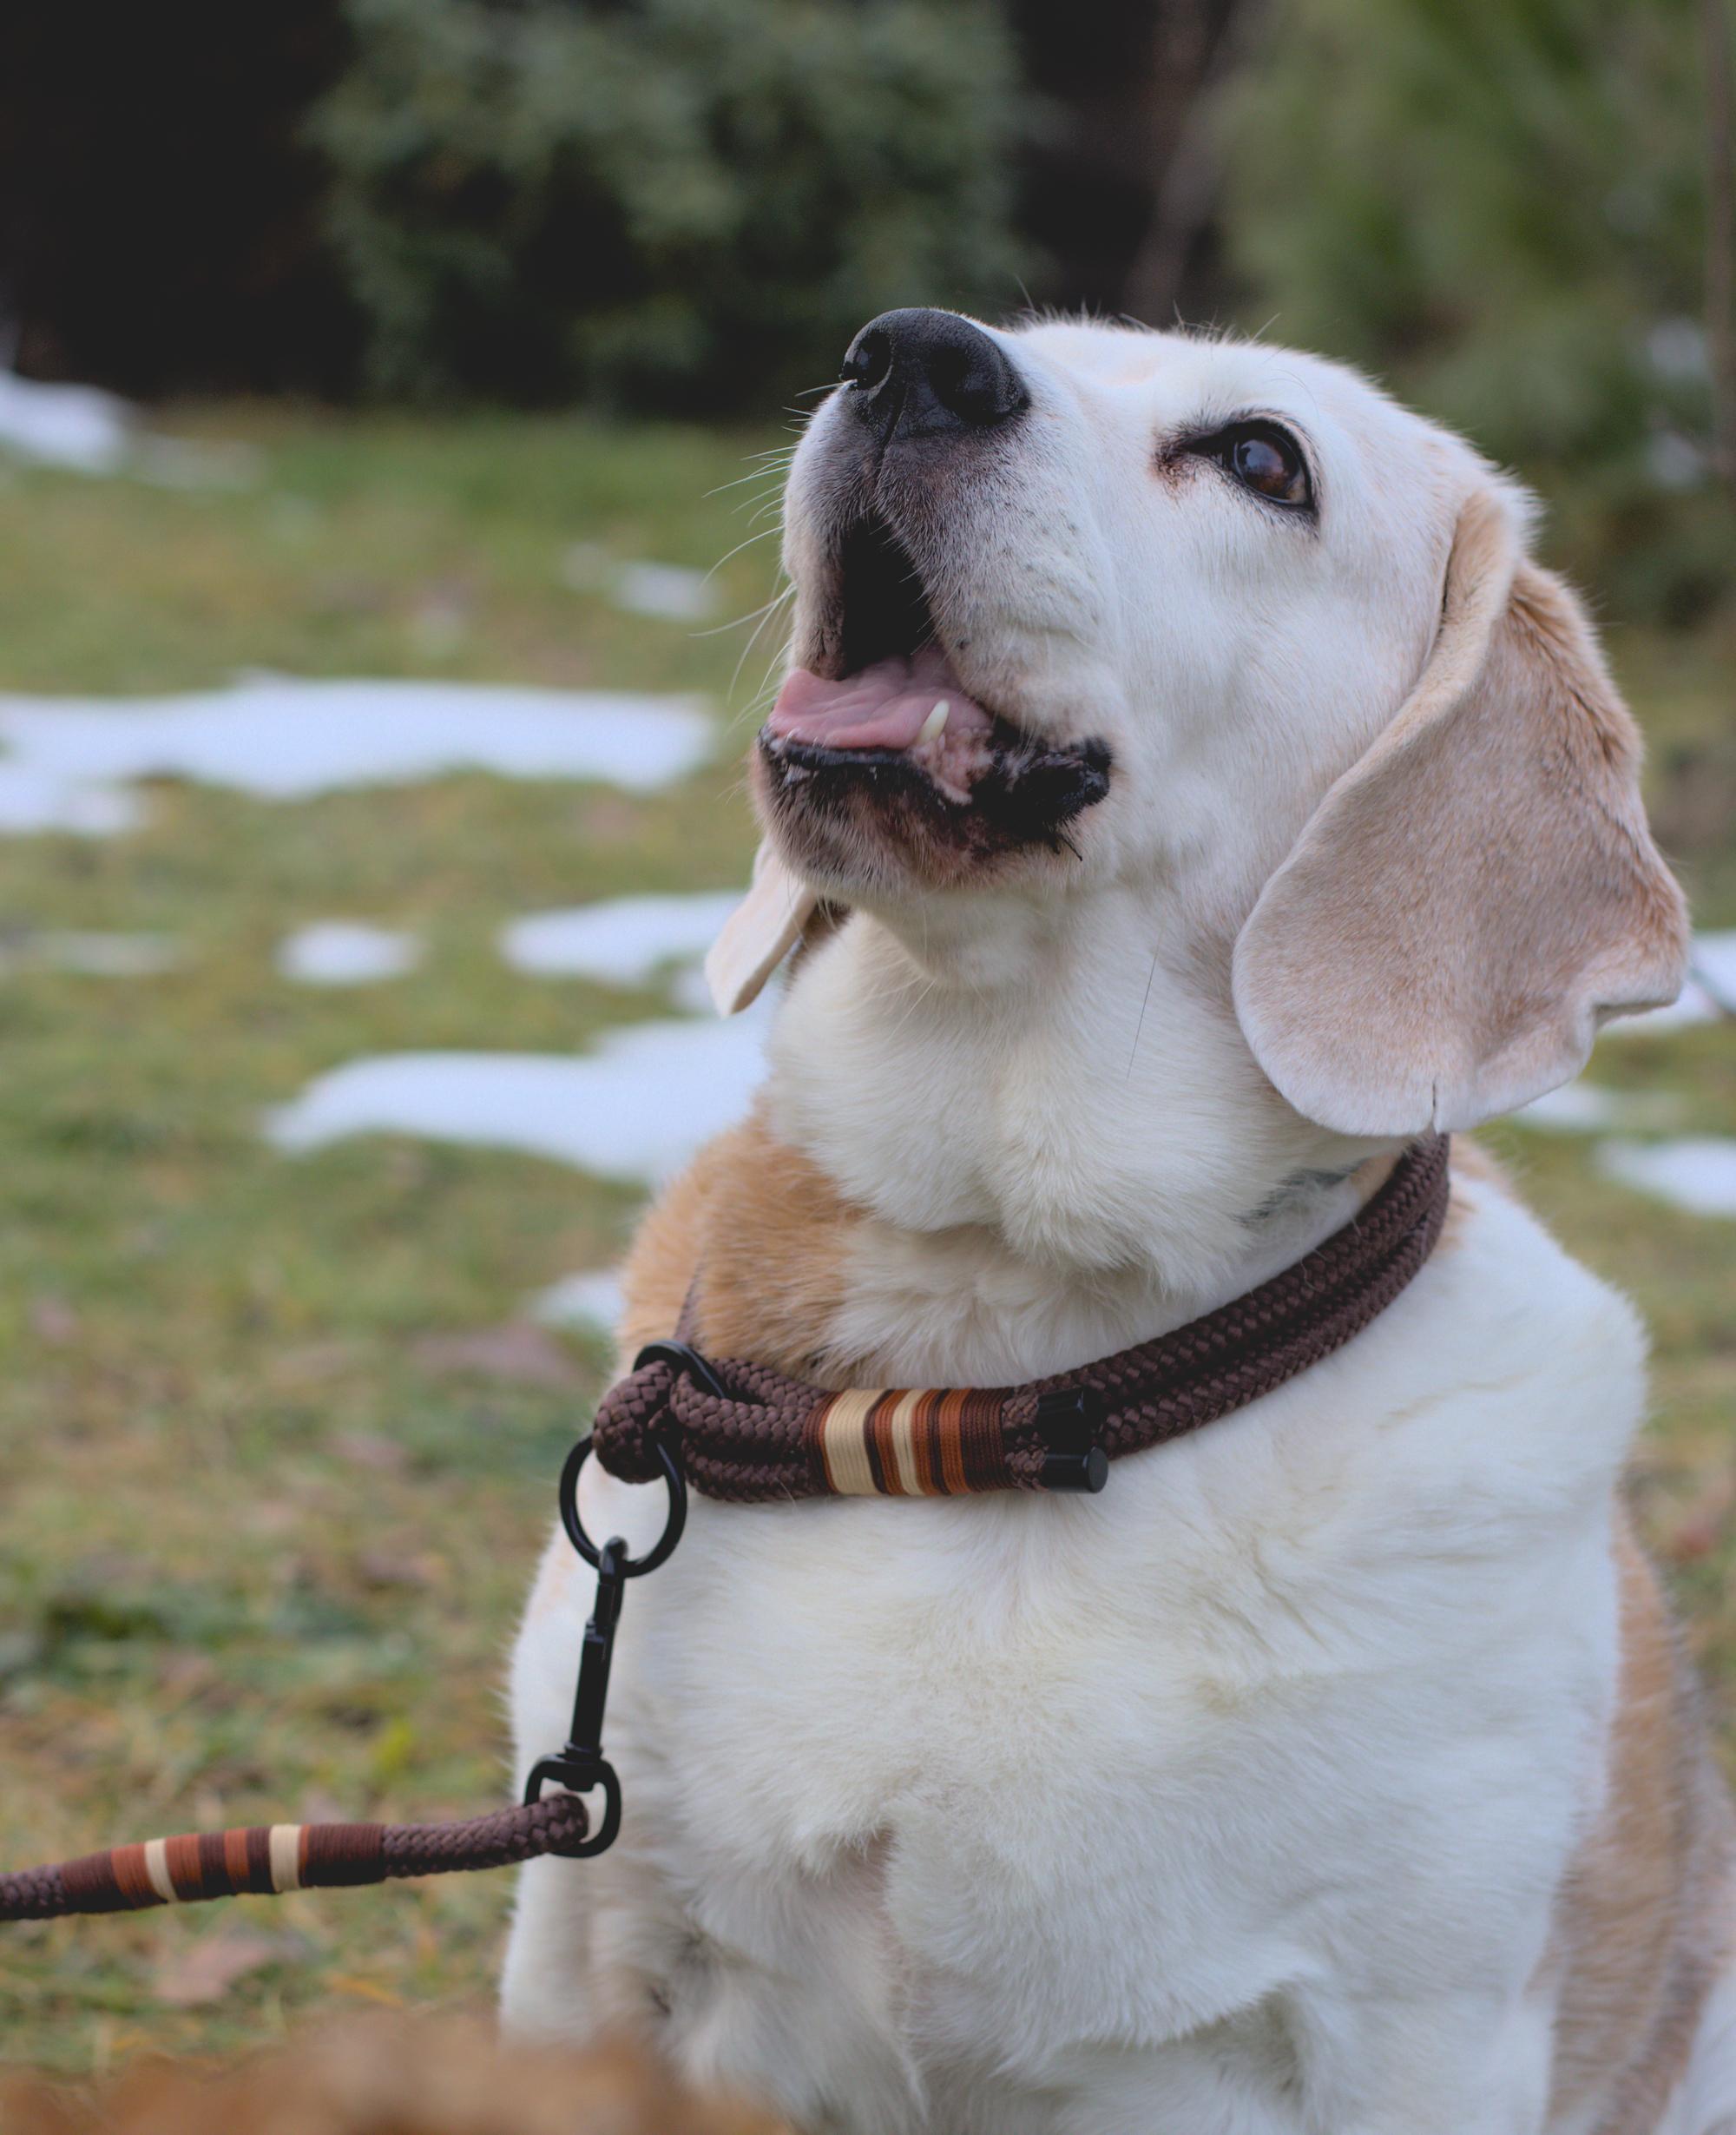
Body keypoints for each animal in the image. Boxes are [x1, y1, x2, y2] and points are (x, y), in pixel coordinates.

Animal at [502, 309, 1733, 2126]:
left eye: (1261, 458)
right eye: (1008, 337)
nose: (911, 357)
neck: (1012, 1348)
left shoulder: (1415, 2035)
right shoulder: (585, 1948)